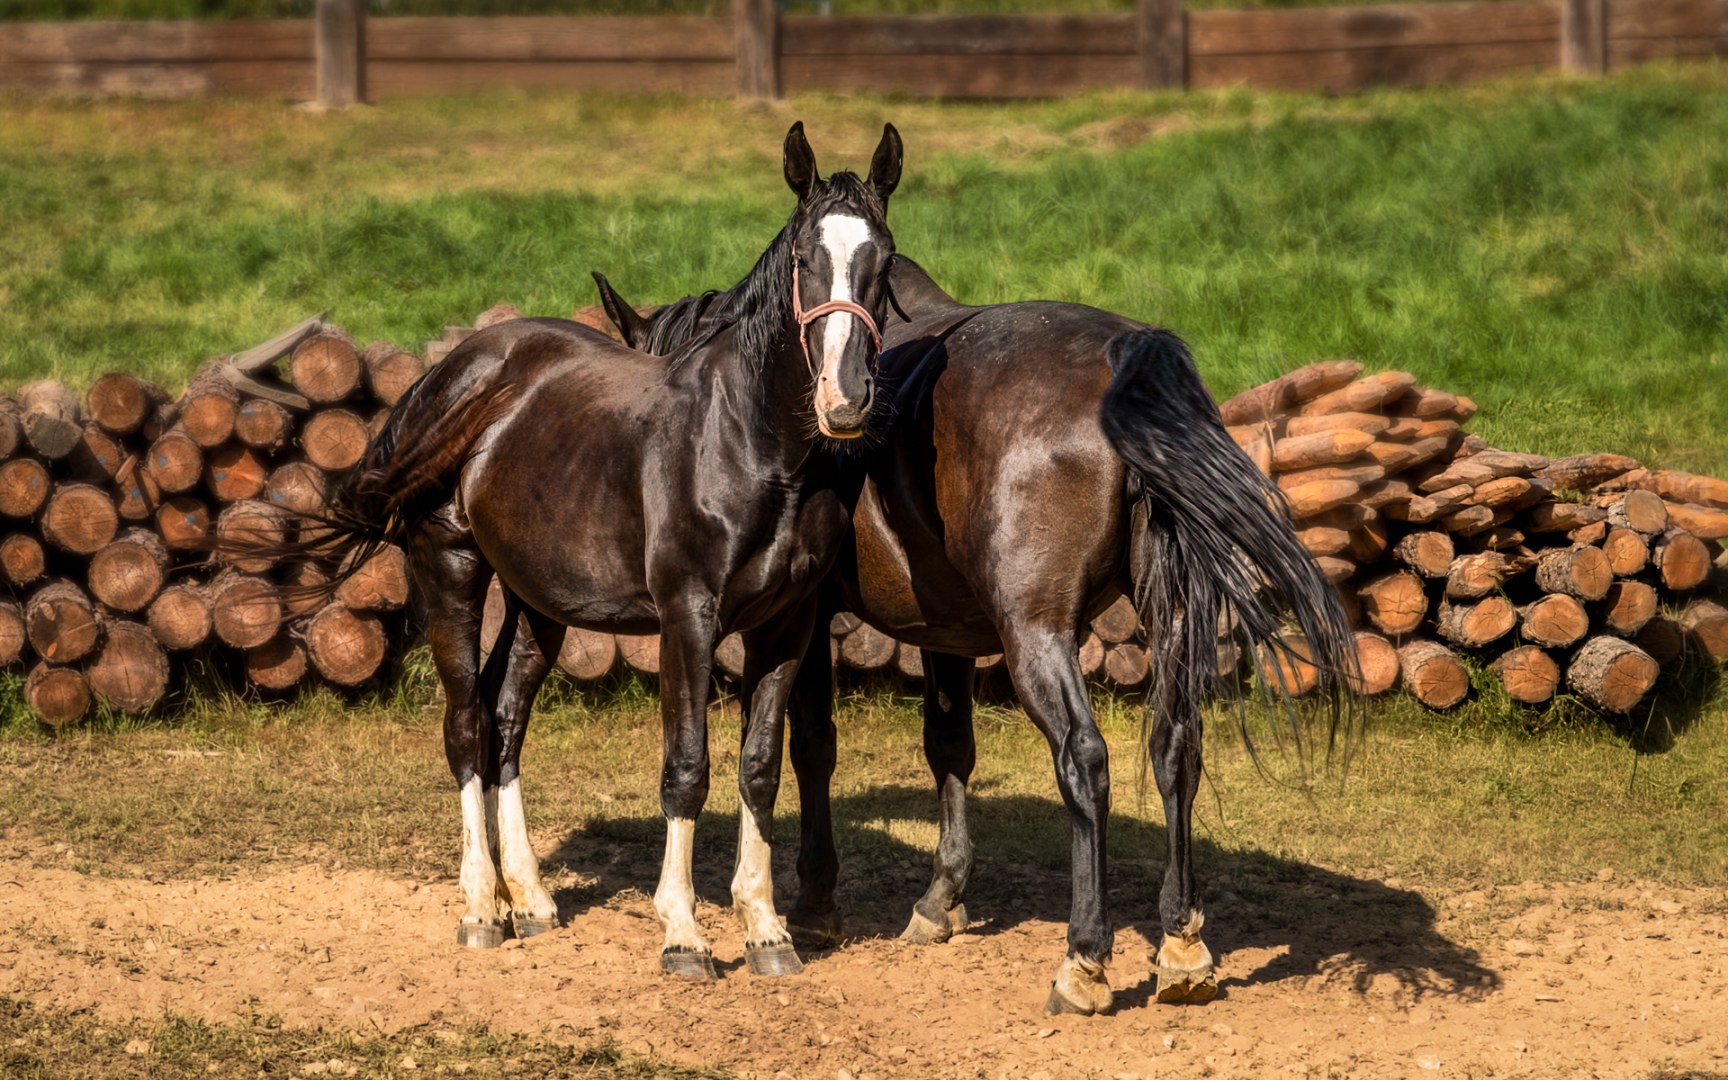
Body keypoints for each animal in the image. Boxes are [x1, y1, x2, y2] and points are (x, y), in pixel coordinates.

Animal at [229, 122, 904, 980]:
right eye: (803, 258)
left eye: (882, 259)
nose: (845, 401)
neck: (754, 447)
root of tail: (461, 371)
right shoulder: (688, 617)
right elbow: (687, 768)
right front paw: (683, 934)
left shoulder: (786, 624)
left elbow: (759, 769)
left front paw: (765, 929)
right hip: (452, 569)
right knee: (464, 724)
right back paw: (481, 909)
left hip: (536, 604)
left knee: (504, 718)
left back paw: (532, 901)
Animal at [592, 256, 1357, 1013]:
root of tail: (1127, 357)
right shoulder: (946, 631)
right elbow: (949, 747)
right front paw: (942, 896)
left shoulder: (804, 621)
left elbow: (811, 749)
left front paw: (813, 901)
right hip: (1165, 616)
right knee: (1175, 747)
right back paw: (1181, 943)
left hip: (1035, 635)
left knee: (1085, 758)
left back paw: (1084, 958)